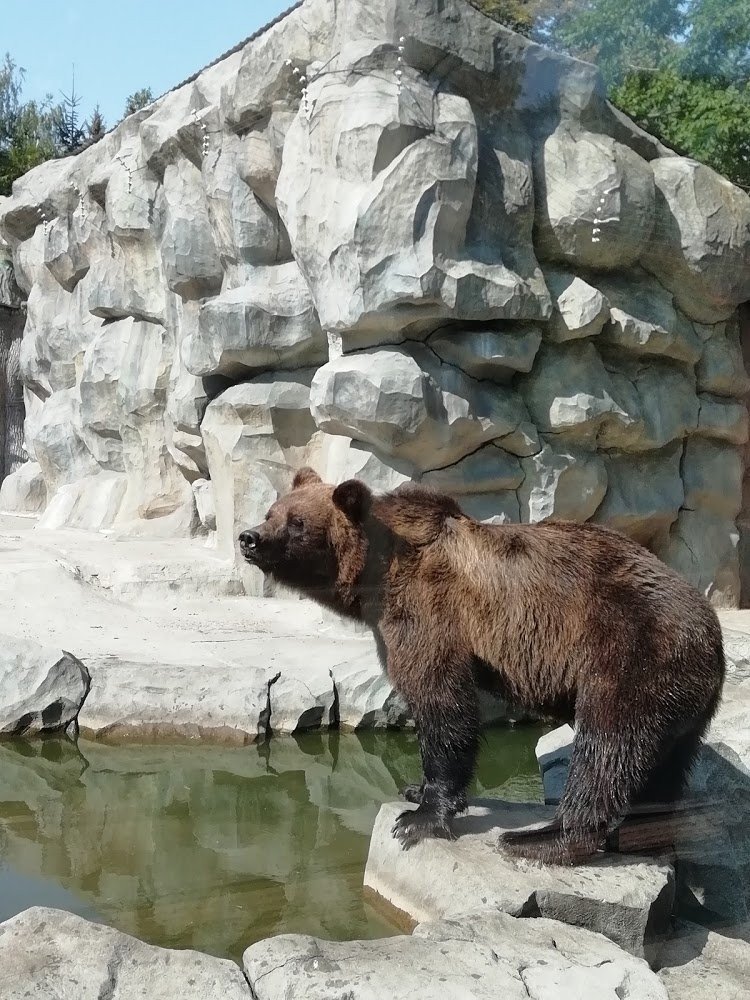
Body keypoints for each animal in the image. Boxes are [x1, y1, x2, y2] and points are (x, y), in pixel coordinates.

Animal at [241, 470, 728, 868]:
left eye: (297, 522)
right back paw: (641, 831)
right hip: (678, 691)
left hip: (631, 651)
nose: (249, 537)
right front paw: (413, 789)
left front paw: (418, 817)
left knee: (607, 747)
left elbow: (442, 702)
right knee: (665, 764)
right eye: (271, 512)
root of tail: (712, 632)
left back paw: (540, 840)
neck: (376, 573)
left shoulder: (426, 612)